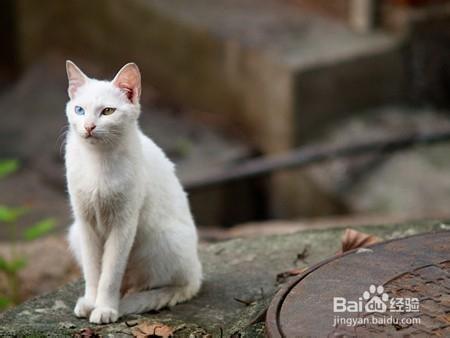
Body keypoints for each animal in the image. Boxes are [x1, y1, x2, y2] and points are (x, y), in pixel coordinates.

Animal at [63, 61, 202, 324]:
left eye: (107, 111)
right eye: (79, 110)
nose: (88, 127)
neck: (98, 161)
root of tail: (197, 269)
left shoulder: (124, 224)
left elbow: (110, 274)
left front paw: (105, 308)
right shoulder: (85, 222)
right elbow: (93, 270)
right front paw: (91, 301)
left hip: (165, 240)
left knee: (175, 284)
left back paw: (133, 299)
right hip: (75, 232)